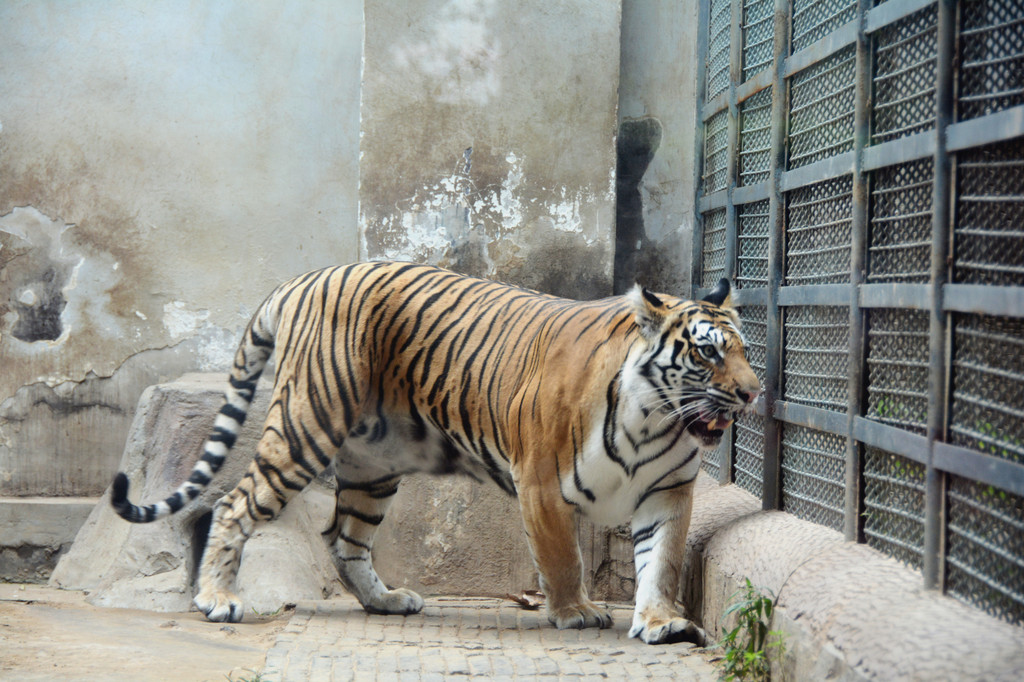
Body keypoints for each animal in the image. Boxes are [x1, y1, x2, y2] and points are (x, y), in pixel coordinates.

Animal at [112, 259, 761, 643]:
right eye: (706, 352)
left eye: (744, 350)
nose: (752, 393)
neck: (656, 418)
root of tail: (302, 278)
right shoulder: (541, 485)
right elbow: (563, 559)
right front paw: (576, 611)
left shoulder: (668, 491)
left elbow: (662, 560)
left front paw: (661, 621)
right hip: (305, 425)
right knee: (234, 505)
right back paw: (217, 599)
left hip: (373, 466)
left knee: (344, 541)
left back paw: (386, 601)